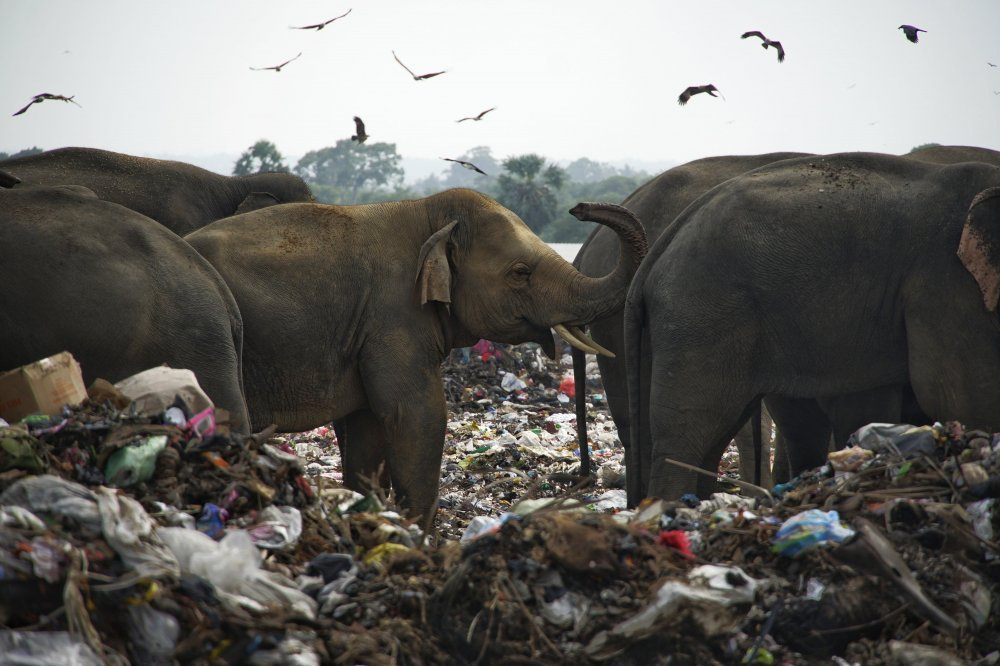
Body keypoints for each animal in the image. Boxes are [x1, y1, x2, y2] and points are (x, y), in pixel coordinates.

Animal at [183, 188, 644, 524]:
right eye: (520, 273)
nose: (579, 207)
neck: (427, 212)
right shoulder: (394, 316)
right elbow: (417, 414)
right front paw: (417, 533)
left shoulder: (366, 332)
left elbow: (369, 424)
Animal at [624, 150, 1000, 500]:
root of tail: (665, 242)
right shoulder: (945, 280)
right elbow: (960, 397)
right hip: (702, 313)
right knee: (688, 431)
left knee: (720, 432)